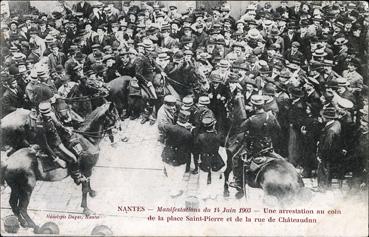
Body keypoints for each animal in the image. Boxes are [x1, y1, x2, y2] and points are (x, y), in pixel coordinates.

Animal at [0, 102, 118, 233]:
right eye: (114, 114)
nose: (118, 127)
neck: (87, 140)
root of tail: (7, 162)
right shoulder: (86, 169)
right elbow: (84, 188)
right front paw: (86, 209)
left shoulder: (88, 170)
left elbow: (88, 183)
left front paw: (92, 192)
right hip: (26, 189)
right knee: (22, 208)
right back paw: (35, 226)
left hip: (16, 188)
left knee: (13, 204)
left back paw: (23, 223)